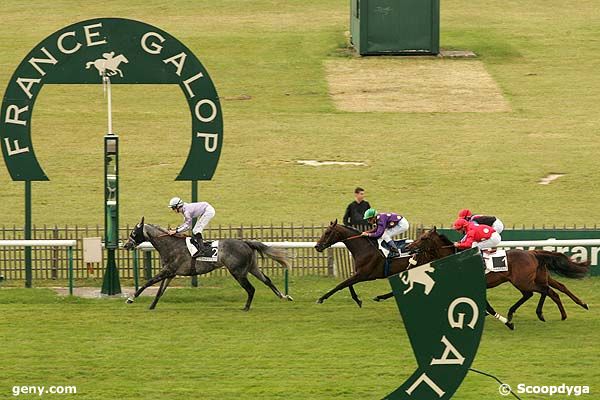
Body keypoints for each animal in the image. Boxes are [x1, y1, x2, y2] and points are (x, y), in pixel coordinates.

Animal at [123, 217, 292, 310]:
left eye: (133, 233)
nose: (126, 245)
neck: (170, 245)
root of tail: (245, 243)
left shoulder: (168, 270)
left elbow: (148, 282)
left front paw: (131, 298)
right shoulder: (171, 273)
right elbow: (160, 291)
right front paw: (152, 306)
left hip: (238, 272)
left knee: (251, 289)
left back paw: (246, 307)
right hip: (252, 267)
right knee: (267, 280)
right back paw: (284, 296)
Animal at [372, 227, 588, 330]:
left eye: (424, 238)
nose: (409, 248)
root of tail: (533, 253)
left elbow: (486, 306)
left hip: (525, 281)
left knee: (545, 291)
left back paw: (541, 313)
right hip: (532, 279)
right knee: (552, 289)